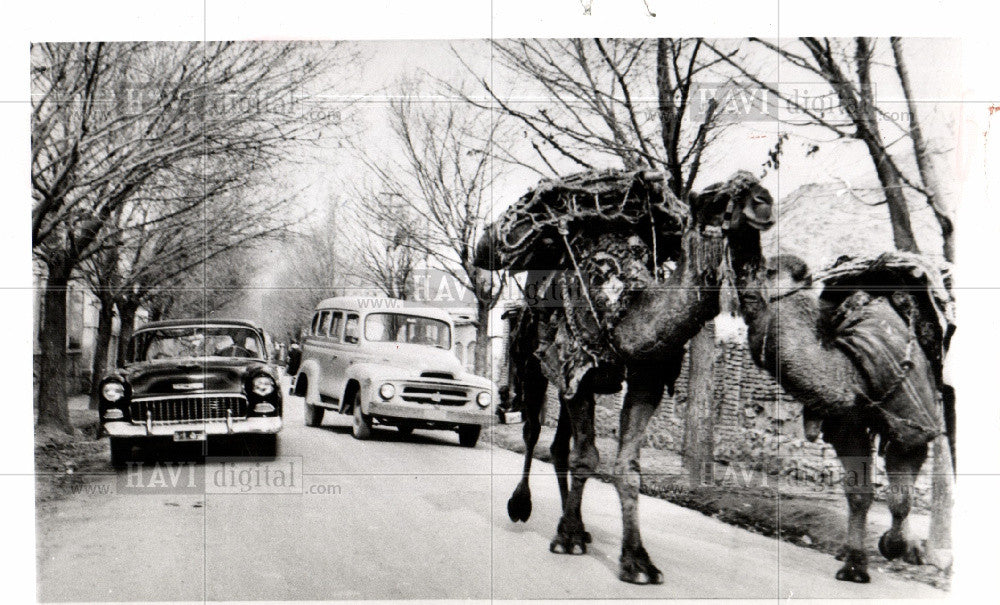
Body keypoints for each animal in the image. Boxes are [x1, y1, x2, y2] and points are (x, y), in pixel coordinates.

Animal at [472, 168, 776, 584]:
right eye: (715, 200)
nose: (763, 202)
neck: (624, 307)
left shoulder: (644, 381)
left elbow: (627, 468)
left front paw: (637, 562)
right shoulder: (576, 367)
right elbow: (586, 457)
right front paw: (567, 539)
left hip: (570, 380)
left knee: (559, 445)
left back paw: (577, 523)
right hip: (531, 361)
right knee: (533, 431)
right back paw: (523, 506)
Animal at [740, 254, 956, 580]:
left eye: (770, 271)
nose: (744, 290)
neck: (854, 371)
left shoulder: (912, 429)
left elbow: (900, 498)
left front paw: (893, 545)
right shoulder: (847, 428)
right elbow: (859, 494)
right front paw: (855, 564)